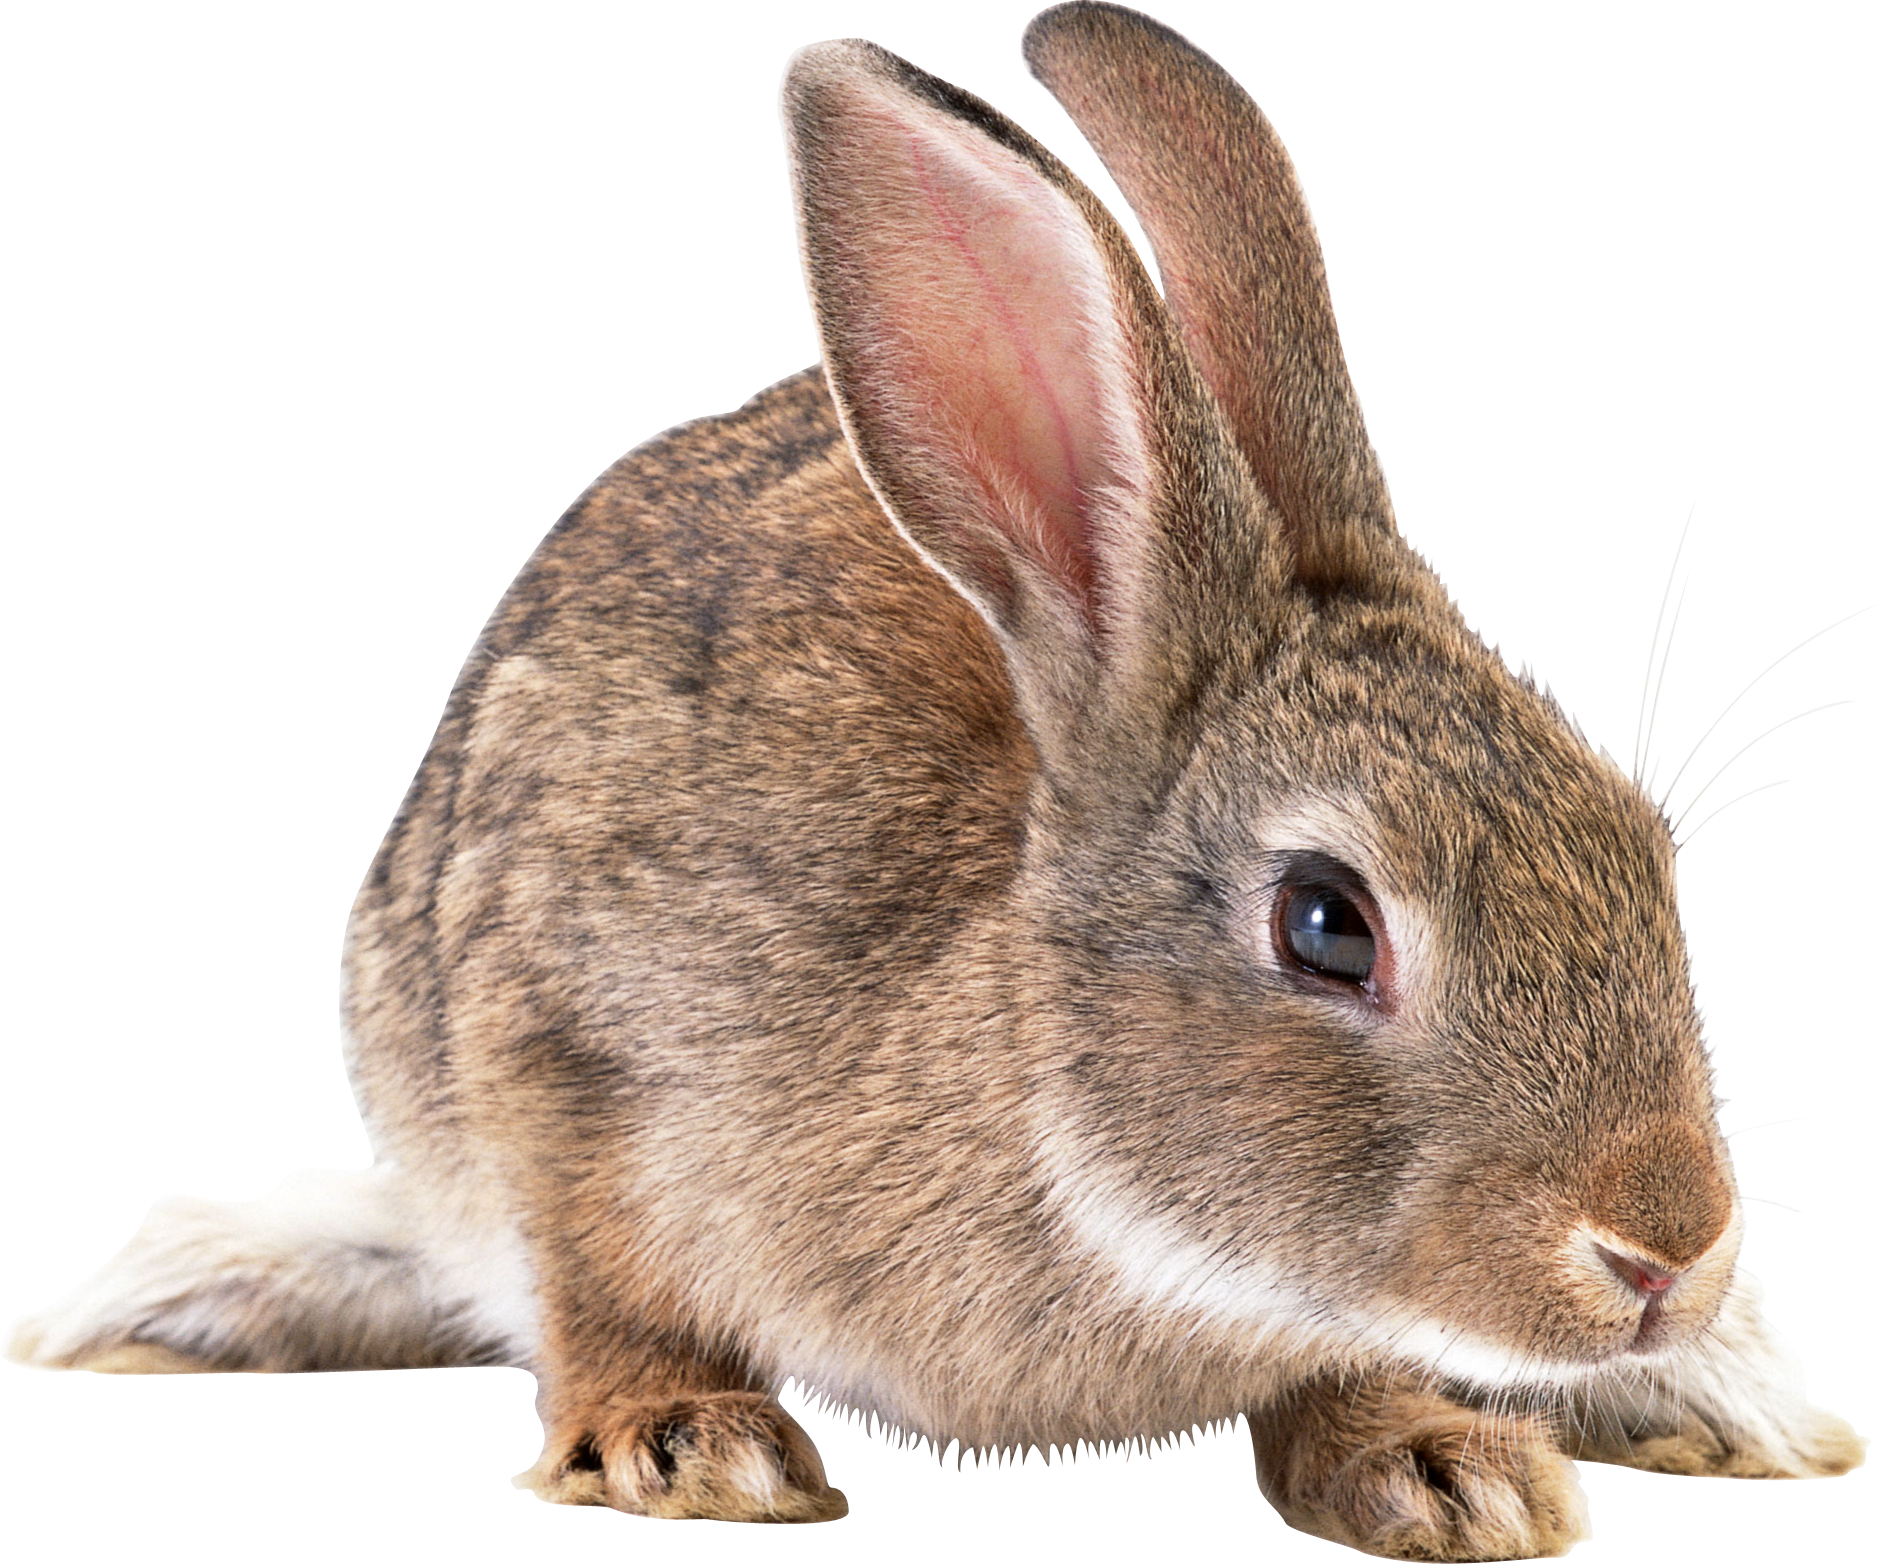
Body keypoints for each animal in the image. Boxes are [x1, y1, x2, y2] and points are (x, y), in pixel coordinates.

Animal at [14, 3, 1862, 1558]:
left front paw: (1440, 1461)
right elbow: (602, 1282)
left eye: (1644, 848)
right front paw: (685, 1441)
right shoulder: (557, 1043)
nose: (1670, 1247)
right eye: (1329, 923)